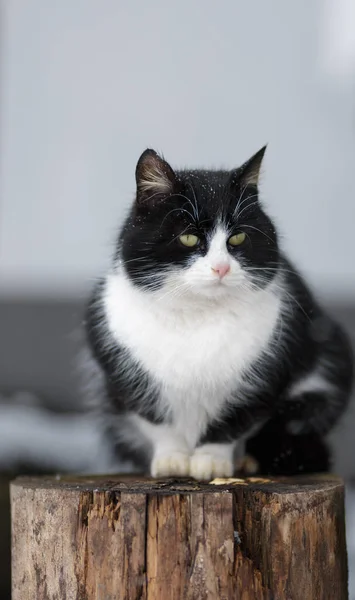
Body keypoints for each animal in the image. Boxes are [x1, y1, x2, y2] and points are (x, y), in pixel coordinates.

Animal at [85, 148, 354, 480]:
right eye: (189, 238)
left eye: (237, 238)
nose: (221, 268)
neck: (197, 316)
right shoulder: (124, 373)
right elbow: (158, 421)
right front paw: (172, 459)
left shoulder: (264, 378)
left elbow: (234, 420)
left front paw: (211, 461)